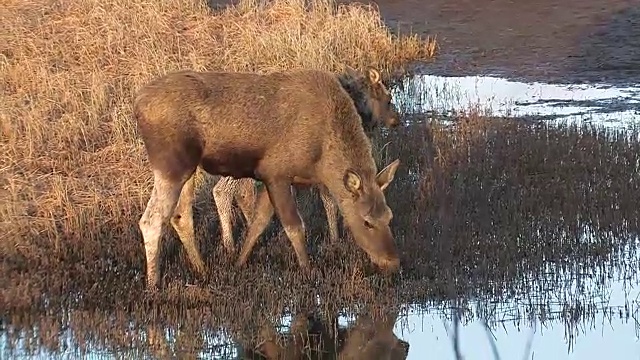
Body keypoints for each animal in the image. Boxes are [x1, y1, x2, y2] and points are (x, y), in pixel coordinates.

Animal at [210, 67, 400, 264]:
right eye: (388, 99)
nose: (396, 120)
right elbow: (330, 202)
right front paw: (335, 239)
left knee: (241, 193)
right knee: (221, 191)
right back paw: (229, 245)